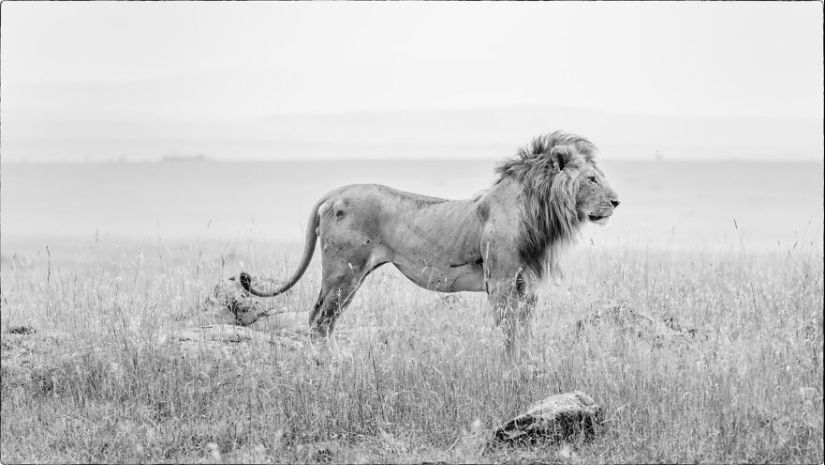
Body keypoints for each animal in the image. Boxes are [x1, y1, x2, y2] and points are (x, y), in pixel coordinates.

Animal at [238, 130, 616, 348]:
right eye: (592, 179)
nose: (617, 202)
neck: (539, 212)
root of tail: (337, 192)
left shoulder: (526, 286)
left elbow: (522, 333)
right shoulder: (502, 281)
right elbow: (508, 332)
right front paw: (509, 372)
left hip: (349, 276)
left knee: (323, 320)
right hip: (343, 272)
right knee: (320, 322)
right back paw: (329, 370)